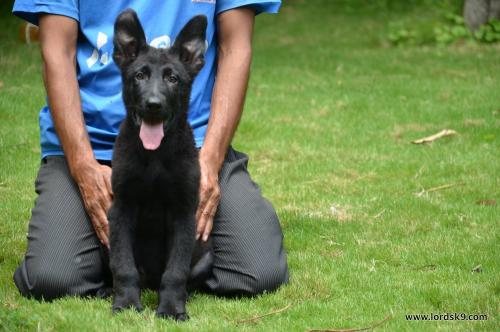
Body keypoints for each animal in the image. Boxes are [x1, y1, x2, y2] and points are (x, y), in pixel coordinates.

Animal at [108, 9, 210, 320]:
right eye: (140, 75)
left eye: (173, 79)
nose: (153, 104)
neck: (154, 157)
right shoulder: (121, 208)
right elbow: (123, 266)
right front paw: (126, 303)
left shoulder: (183, 212)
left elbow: (175, 271)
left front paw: (172, 308)